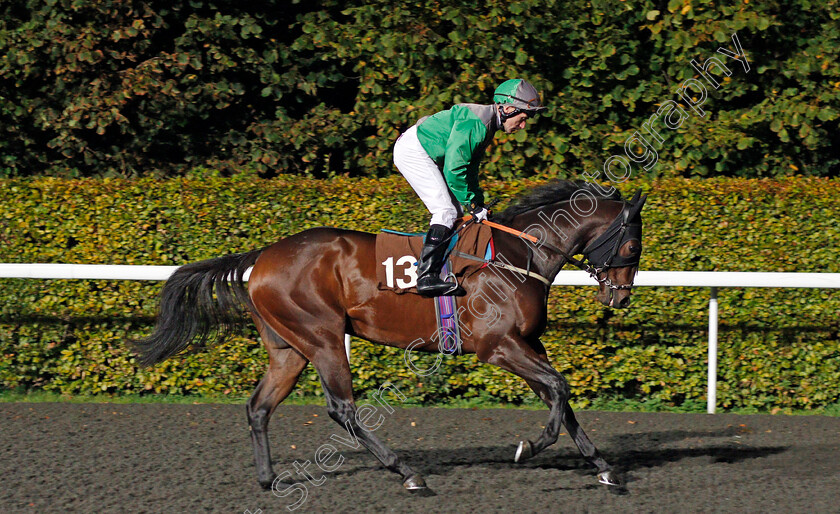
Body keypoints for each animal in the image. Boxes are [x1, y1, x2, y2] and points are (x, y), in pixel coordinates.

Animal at [131, 179, 648, 492]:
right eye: (632, 244)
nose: (621, 298)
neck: (520, 255)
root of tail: (263, 256)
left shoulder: (527, 343)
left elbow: (559, 395)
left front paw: (603, 469)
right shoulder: (497, 346)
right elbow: (558, 388)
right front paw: (529, 448)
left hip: (288, 349)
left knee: (259, 406)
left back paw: (267, 478)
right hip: (322, 338)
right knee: (342, 409)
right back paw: (406, 471)